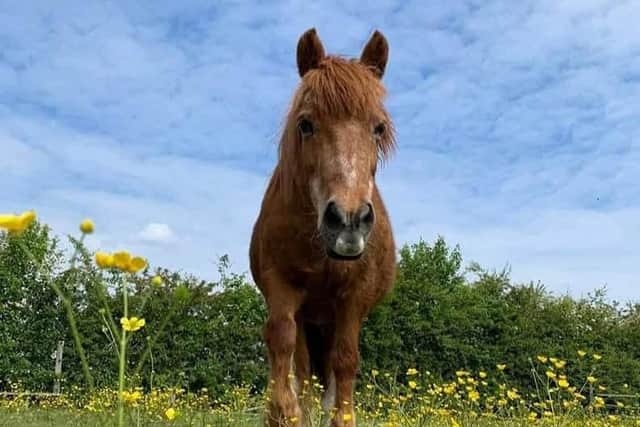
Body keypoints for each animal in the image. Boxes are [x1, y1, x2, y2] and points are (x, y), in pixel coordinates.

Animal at [249, 27, 397, 427]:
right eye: (306, 124)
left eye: (378, 128)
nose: (348, 221)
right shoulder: (282, 285)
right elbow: (281, 340)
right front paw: (283, 413)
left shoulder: (354, 298)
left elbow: (345, 360)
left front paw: (342, 418)